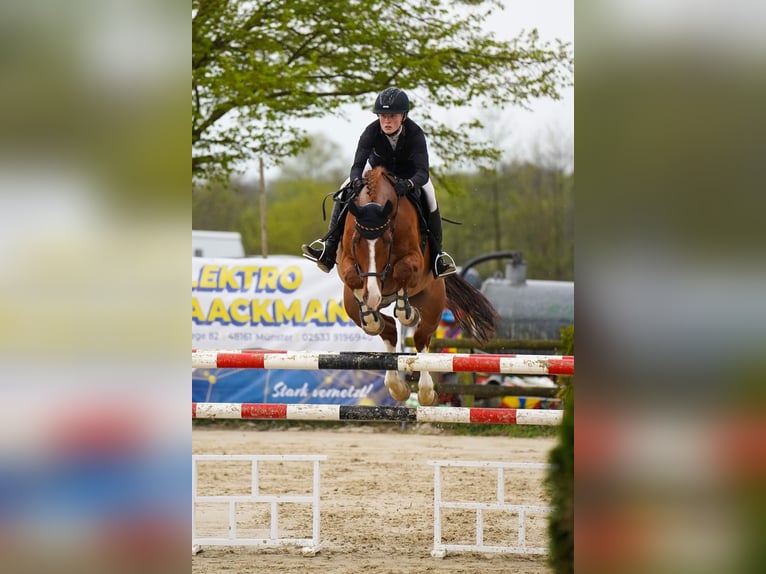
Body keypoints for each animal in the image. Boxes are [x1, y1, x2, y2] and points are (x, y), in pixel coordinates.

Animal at [336, 166, 498, 408]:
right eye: (356, 242)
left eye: (386, 241)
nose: (372, 296)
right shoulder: (347, 259)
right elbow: (352, 277)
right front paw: (370, 315)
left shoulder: (414, 260)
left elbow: (402, 271)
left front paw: (407, 312)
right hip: (350, 307)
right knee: (389, 329)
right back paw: (397, 386)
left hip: (433, 302)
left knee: (421, 339)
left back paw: (425, 391)